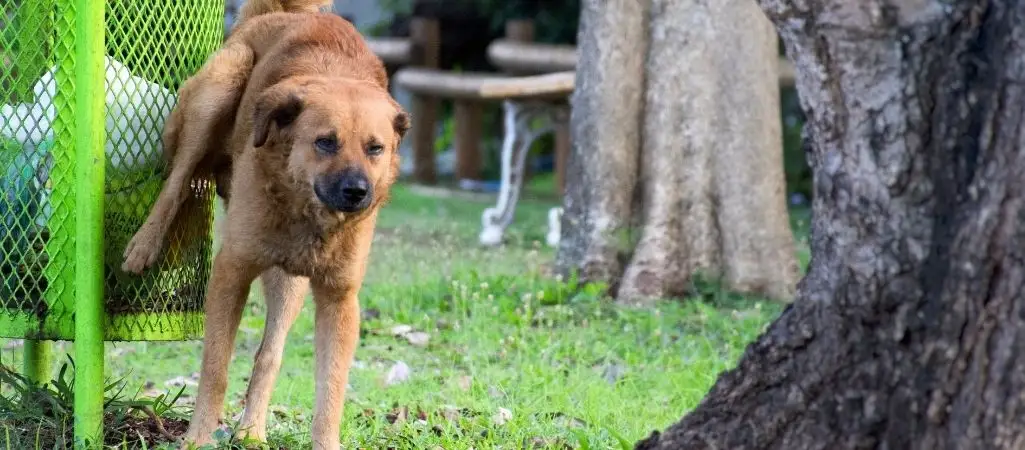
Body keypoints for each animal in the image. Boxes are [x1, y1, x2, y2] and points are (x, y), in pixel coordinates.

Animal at [119, 1, 407, 448]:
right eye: (326, 142)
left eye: (375, 148)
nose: (358, 192)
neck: (303, 211)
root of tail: (282, 14)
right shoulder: (231, 271)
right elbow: (216, 367)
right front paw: (198, 437)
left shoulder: (339, 299)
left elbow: (330, 391)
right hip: (218, 91)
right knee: (176, 182)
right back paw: (145, 244)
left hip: (289, 283)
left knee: (269, 353)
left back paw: (252, 429)